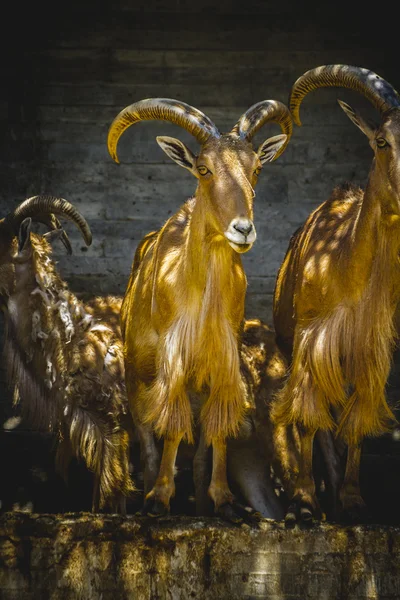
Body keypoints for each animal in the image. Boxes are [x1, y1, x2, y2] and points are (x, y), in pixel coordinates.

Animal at [108, 98, 292, 520]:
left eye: (256, 168)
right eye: (203, 168)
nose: (243, 229)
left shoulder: (224, 364)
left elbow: (218, 429)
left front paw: (223, 500)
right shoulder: (172, 364)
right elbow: (173, 427)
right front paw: (159, 498)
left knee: (199, 453)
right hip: (136, 379)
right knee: (149, 440)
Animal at [274, 64, 400, 524]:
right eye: (382, 141)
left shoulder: (370, 352)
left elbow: (357, 421)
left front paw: (352, 500)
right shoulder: (312, 341)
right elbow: (309, 418)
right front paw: (303, 504)